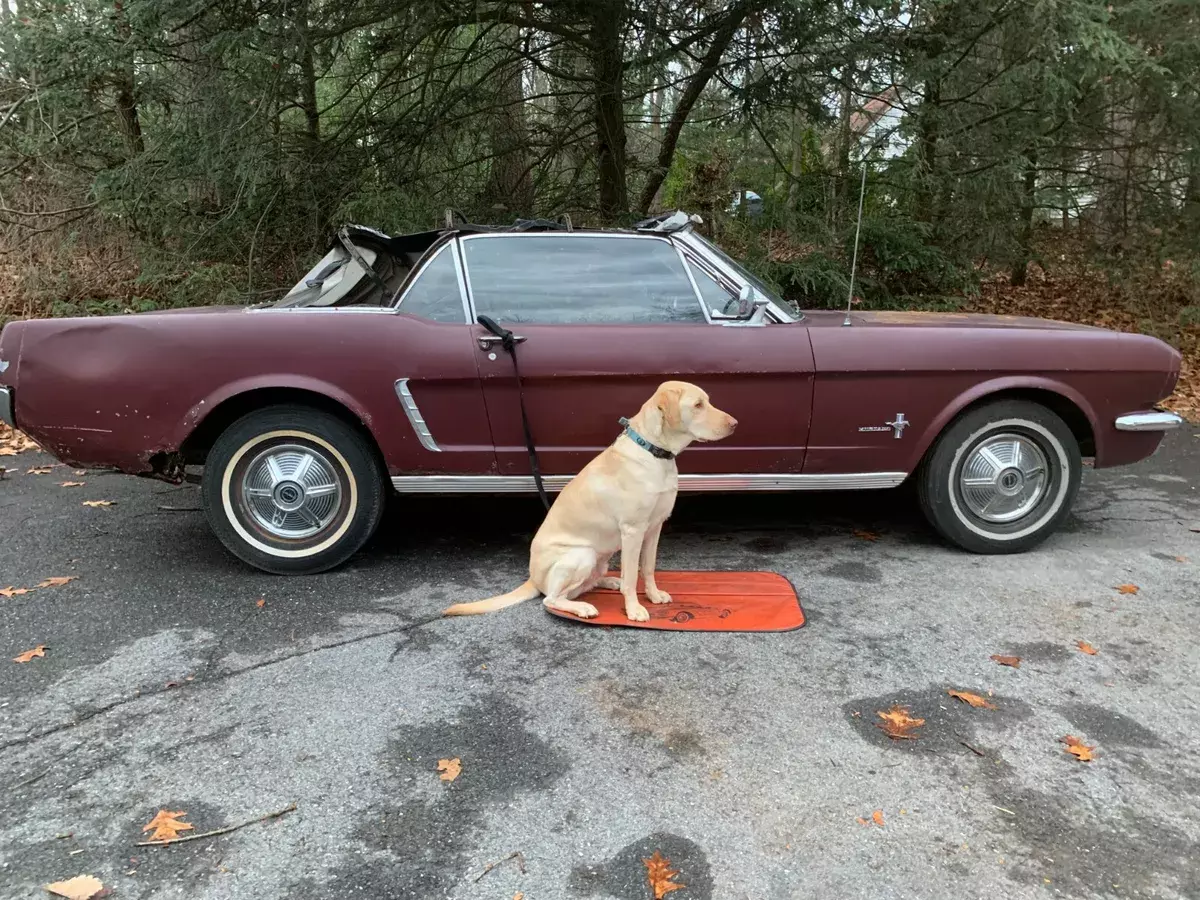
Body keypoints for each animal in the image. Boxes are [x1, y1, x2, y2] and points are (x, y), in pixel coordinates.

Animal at [446, 381, 734, 619]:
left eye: (707, 401)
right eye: (698, 405)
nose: (735, 424)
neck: (654, 452)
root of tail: (532, 578)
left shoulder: (655, 527)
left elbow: (648, 568)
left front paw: (653, 595)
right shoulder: (633, 531)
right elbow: (633, 576)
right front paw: (634, 609)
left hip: (601, 557)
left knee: (585, 585)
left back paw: (609, 582)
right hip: (582, 554)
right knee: (551, 598)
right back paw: (583, 607)